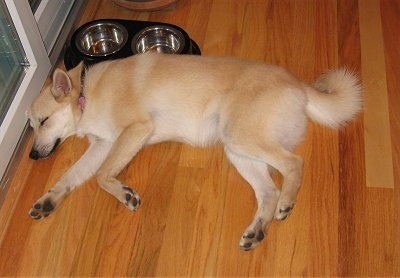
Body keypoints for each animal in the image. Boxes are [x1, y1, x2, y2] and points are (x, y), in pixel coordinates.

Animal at [25, 52, 362, 250]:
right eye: (32, 125)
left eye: (43, 121)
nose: (31, 157)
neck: (85, 96)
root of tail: (298, 84)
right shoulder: (103, 145)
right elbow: (72, 176)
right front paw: (48, 200)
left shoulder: (133, 131)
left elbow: (102, 177)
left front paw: (125, 194)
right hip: (238, 151)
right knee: (268, 192)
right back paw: (256, 231)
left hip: (243, 138)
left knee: (294, 164)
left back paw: (286, 204)